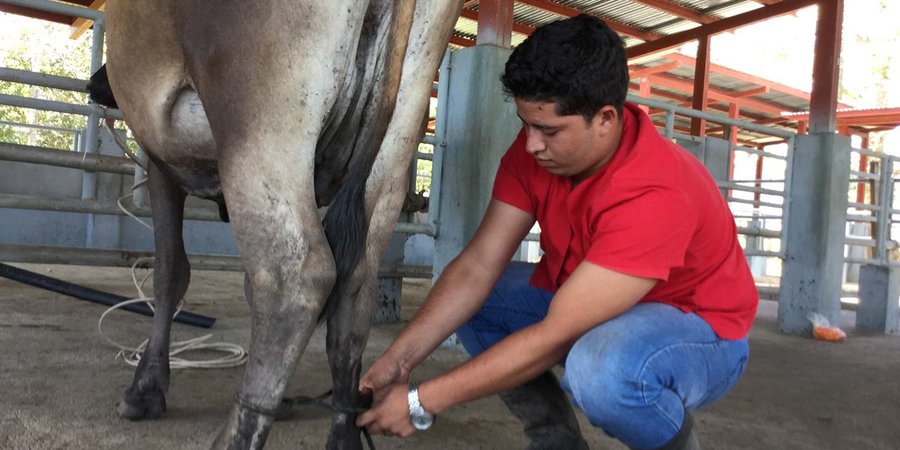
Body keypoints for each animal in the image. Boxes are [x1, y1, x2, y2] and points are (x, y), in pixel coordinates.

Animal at [102, 1, 460, 448]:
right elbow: (243, 285)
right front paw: (284, 399)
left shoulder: (160, 160)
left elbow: (170, 271)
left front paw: (145, 388)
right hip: (395, 146)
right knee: (355, 290)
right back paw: (343, 434)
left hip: (262, 125)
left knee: (296, 281)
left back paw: (235, 435)